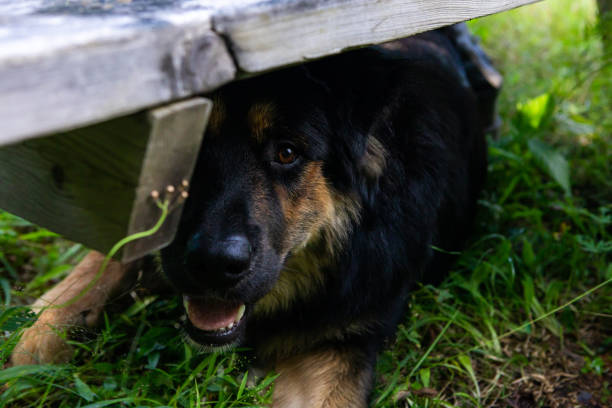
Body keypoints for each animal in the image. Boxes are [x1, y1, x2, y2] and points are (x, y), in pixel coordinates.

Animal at [10, 27, 492, 406]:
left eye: (287, 152)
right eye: (189, 149)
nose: (213, 265)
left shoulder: (343, 341)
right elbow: (108, 258)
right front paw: (41, 334)